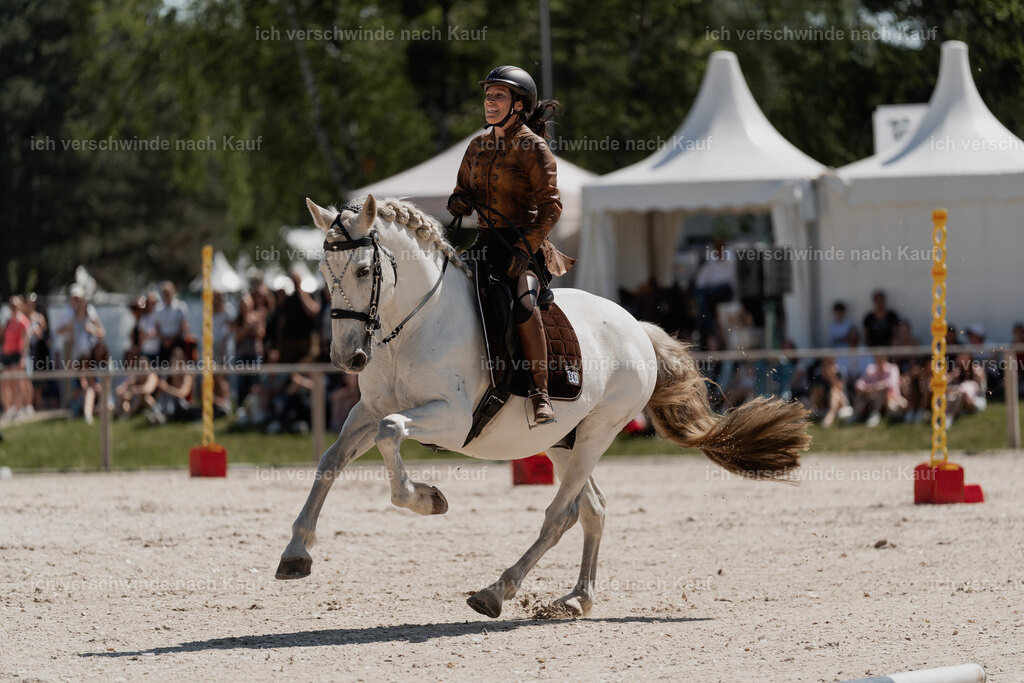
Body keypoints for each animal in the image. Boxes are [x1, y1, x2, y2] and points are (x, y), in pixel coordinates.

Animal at [276, 195, 810, 618]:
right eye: (323, 273)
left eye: (364, 271)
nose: (346, 357)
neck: (412, 326)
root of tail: (636, 326)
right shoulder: (365, 412)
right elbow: (331, 460)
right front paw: (296, 551)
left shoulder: (449, 419)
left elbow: (392, 433)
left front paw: (427, 498)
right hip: (559, 440)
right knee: (592, 509)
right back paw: (576, 598)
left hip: (598, 432)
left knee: (560, 515)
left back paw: (498, 591)